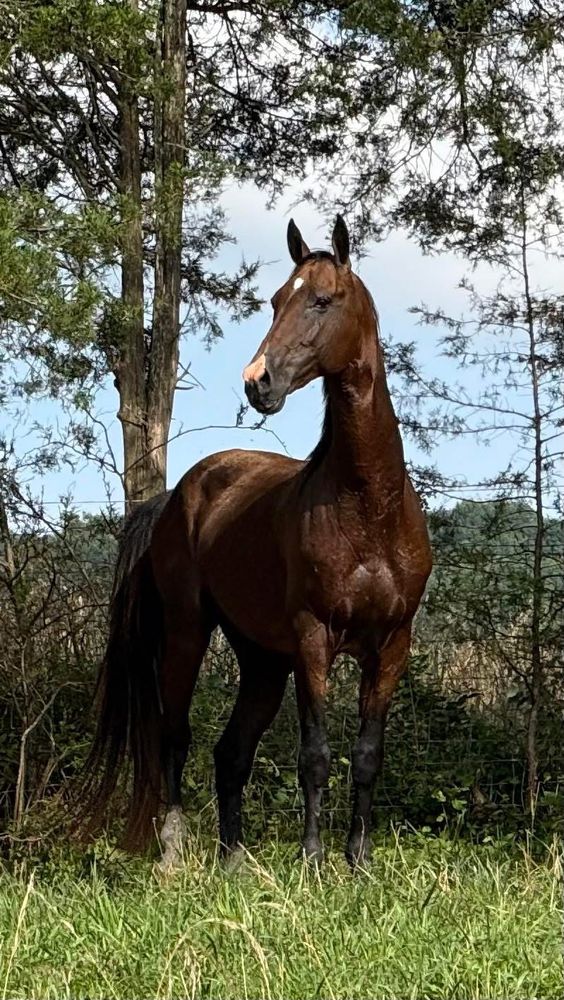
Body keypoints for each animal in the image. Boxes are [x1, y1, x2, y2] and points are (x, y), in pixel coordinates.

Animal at [82, 215, 432, 868]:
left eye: (322, 300)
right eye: (274, 301)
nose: (257, 382)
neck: (369, 506)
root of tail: (178, 496)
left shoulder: (392, 645)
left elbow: (367, 756)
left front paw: (359, 861)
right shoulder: (314, 641)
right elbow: (315, 755)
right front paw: (313, 860)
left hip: (262, 661)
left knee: (231, 751)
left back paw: (233, 858)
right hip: (189, 634)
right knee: (175, 735)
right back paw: (173, 853)